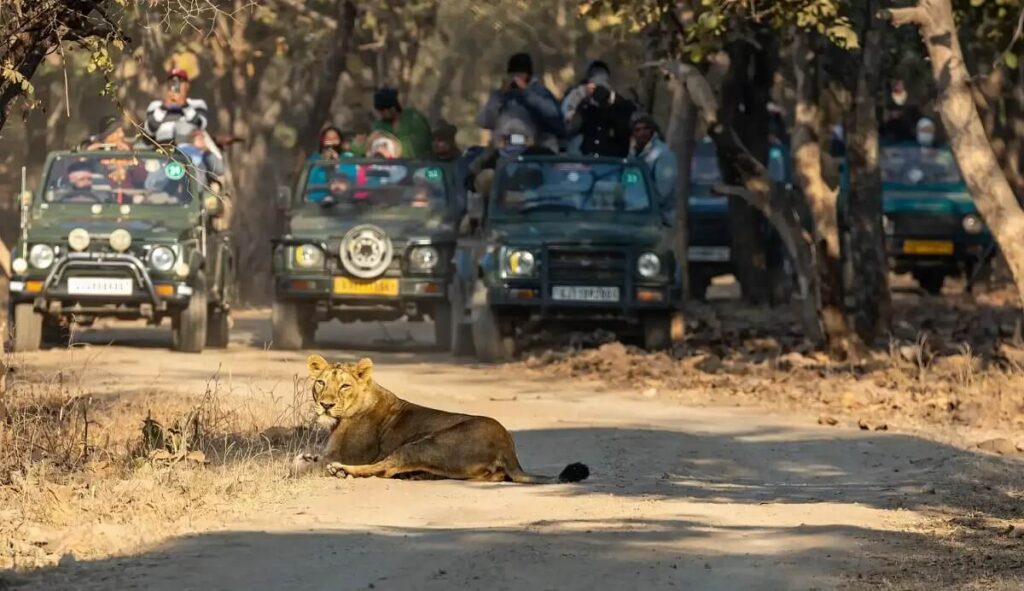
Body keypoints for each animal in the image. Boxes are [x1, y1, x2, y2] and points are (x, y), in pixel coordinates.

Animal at [292, 354, 590, 484]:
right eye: (320, 383)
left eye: (344, 386)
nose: (326, 405)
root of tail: (508, 448)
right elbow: (302, 458)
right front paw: (305, 458)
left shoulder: (347, 454)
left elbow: (302, 464)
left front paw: (306, 465)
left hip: (425, 444)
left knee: (386, 467)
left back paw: (343, 471)